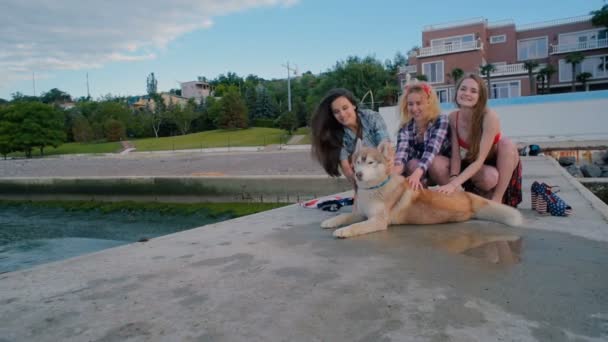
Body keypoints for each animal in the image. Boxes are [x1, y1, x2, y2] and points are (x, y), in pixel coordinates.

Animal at [320, 140, 524, 238]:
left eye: (370, 162)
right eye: (357, 162)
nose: (358, 174)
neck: (373, 189)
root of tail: (469, 198)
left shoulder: (377, 221)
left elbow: (356, 226)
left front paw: (344, 231)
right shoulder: (361, 213)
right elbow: (344, 216)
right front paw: (331, 221)